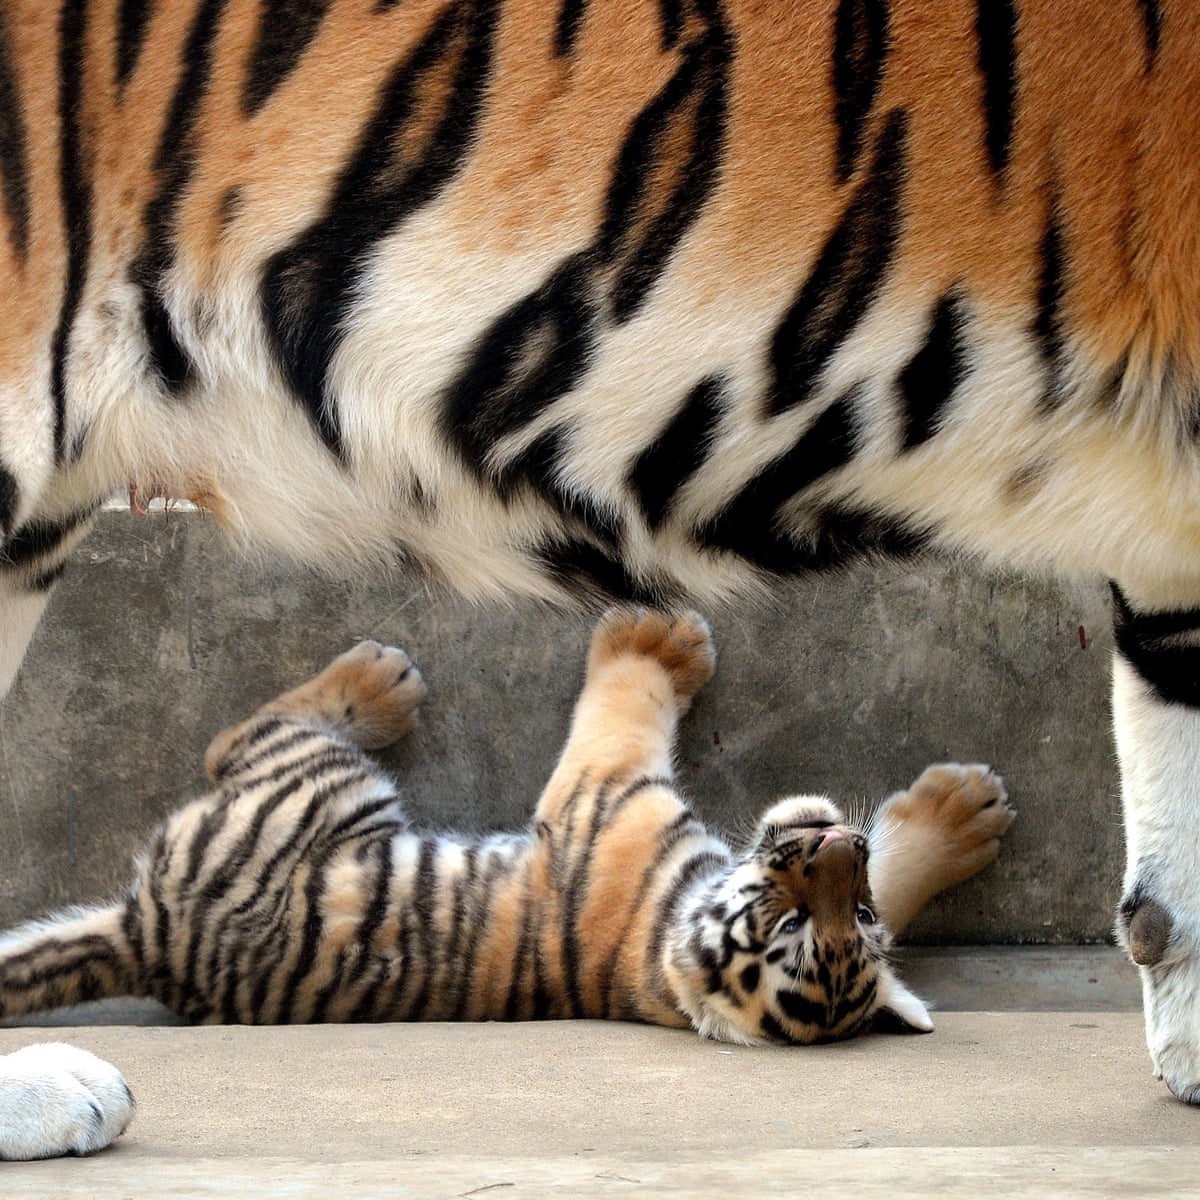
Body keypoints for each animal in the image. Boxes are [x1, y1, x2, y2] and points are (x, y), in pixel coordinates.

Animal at [0, 0, 1200, 1104]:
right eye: (784, 914)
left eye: (834, 913)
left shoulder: (612, 799)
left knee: (247, 739)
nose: (823, 843)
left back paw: (377, 680)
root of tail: (144, 934)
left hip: (317, 798)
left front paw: (942, 812)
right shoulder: (612, 804)